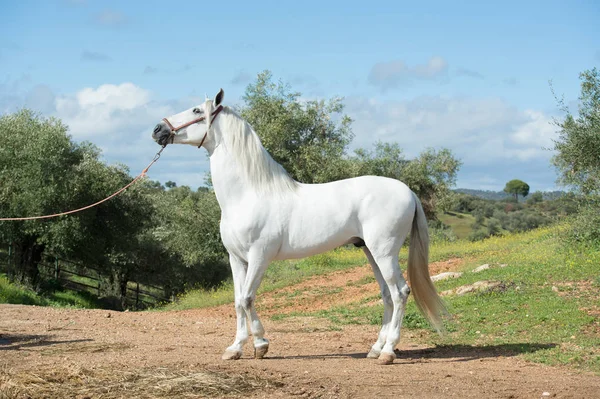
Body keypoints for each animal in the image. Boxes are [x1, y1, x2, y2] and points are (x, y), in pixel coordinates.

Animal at [152, 90, 448, 366]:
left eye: (196, 110)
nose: (158, 129)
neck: (247, 194)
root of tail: (408, 191)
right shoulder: (236, 258)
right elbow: (237, 301)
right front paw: (235, 349)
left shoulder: (259, 256)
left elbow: (247, 298)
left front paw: (261, 345)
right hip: (370, 251)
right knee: (387, 294)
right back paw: (376, 348)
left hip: (384, 252)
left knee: (400, 293)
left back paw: (388, 352)